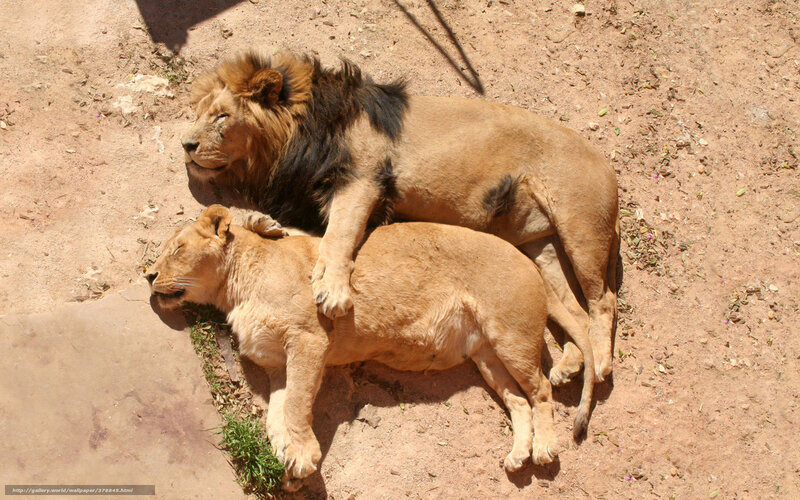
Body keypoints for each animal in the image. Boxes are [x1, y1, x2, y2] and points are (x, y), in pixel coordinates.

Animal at [146, 205, 595, 488]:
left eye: (177, 249)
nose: (149, 275)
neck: (234, 290)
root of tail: (528, 259)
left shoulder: (309, 340)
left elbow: (297, 404)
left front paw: (303, 455)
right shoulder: (276, 364)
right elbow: (275, 414)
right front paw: (286, 460)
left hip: (511, 336)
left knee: (542, 389)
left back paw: (544, 448)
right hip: (486, 356)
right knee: (519, 401)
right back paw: (519, 453)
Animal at [181, 50, 619, 383]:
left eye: (221, 117)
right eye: (198, 114)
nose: (186, 144)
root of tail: (607, 163)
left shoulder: (364, 178)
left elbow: (339, 235)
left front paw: (333, 291)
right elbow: (310, 236)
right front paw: (266, 226)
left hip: (581, 230)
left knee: (603, 301)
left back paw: (599, 364)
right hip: (538, 246)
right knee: (573, 310)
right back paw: (570, 365)